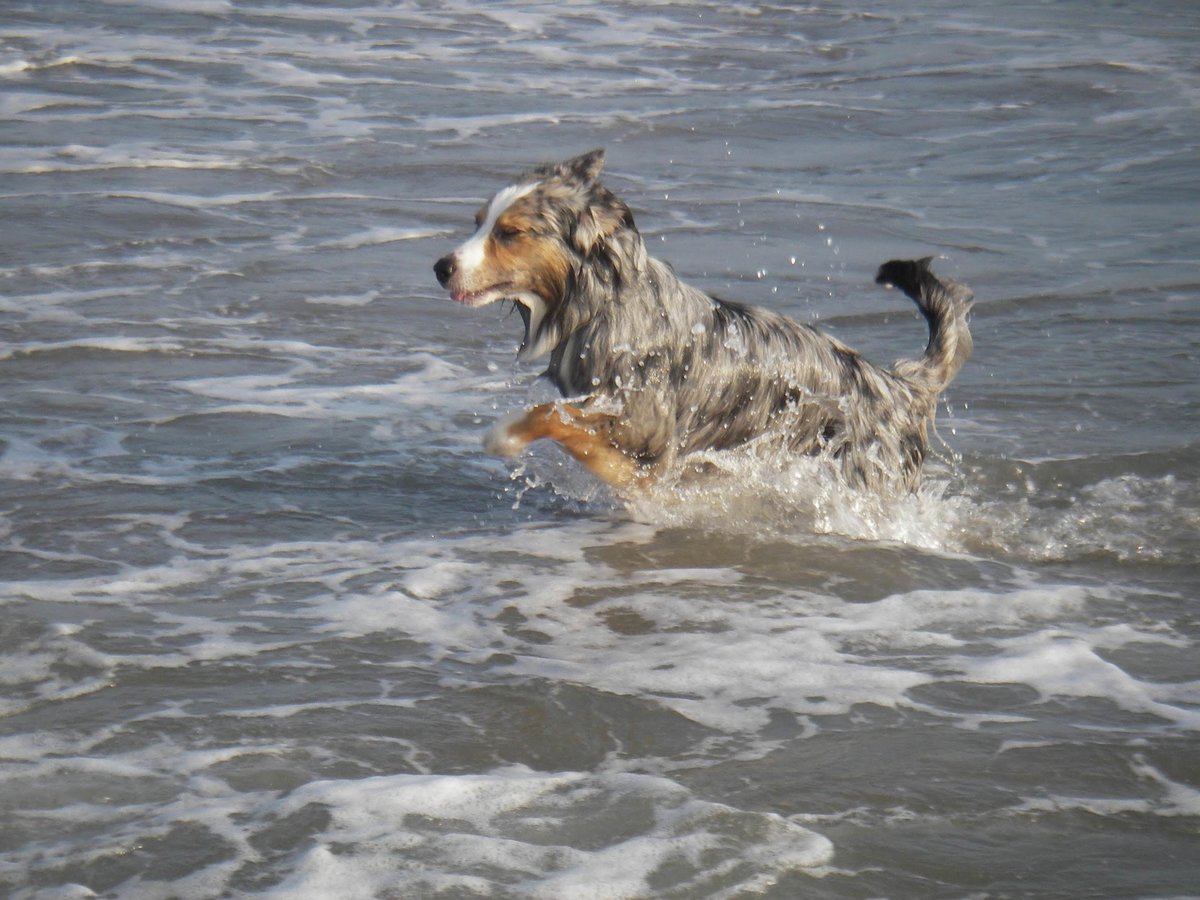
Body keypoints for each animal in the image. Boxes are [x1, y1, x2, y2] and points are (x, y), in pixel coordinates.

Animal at [434, 151, 974, 496]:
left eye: (509, 233)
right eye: (478, 222)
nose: (440, 267)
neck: (606, 307)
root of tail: (901, 385)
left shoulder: (648, 435)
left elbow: (555, 417)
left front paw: (504, 435)